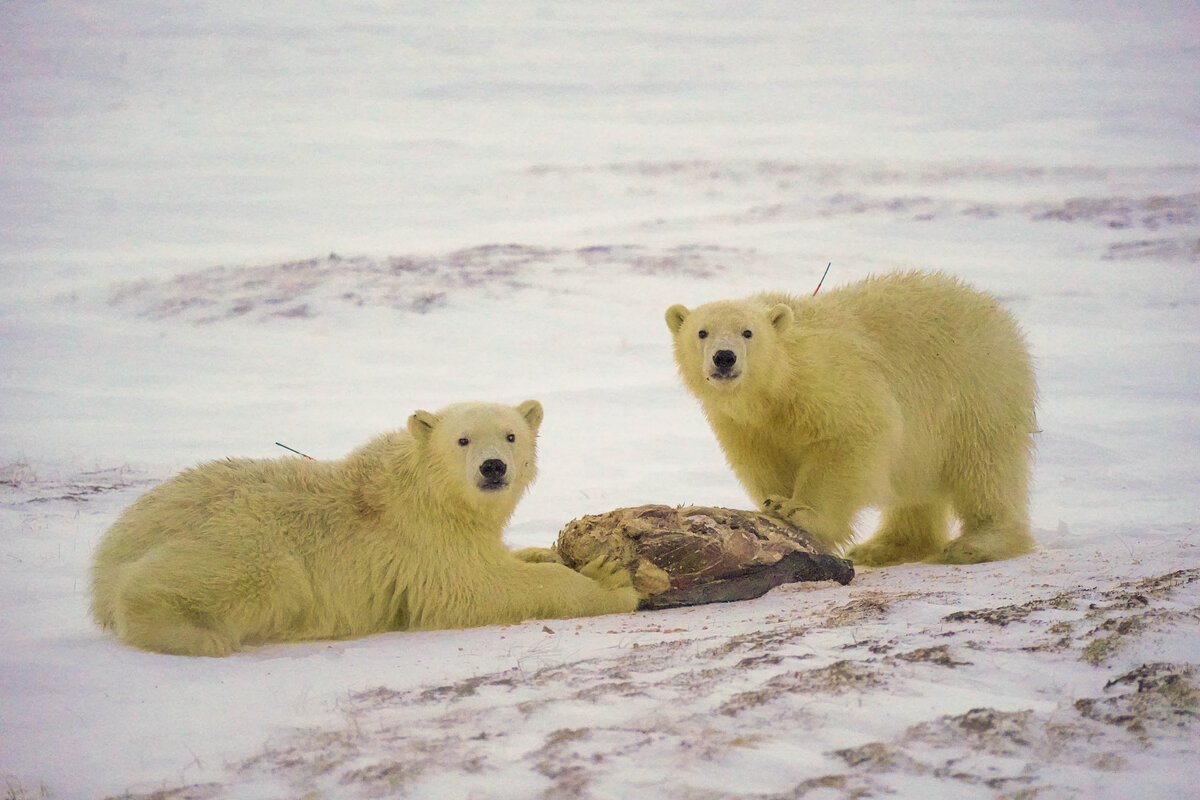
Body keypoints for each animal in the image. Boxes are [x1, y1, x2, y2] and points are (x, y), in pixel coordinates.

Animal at [88, 400, 643, 657]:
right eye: (462, 439)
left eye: (511, 435)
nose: (493, 468)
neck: (427, 490)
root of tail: (107, 557)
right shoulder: (422, 540)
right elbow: (479, 588)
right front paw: (612, 580)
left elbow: (502, 561)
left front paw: (551, 553)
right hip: (245, 539)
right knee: (256, 575)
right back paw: (195, 635)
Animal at [667, 272, 1041, 566]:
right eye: (702, 332)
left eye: (748, 332)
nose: (724, 357)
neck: (776, 388)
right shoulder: (744, 425)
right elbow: (765, 461)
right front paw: (774, 507)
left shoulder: (828, 380)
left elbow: (848, 437)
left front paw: (800, 514)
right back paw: (884, 547)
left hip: (977, 388)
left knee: (985, 467)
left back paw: (977, 543)